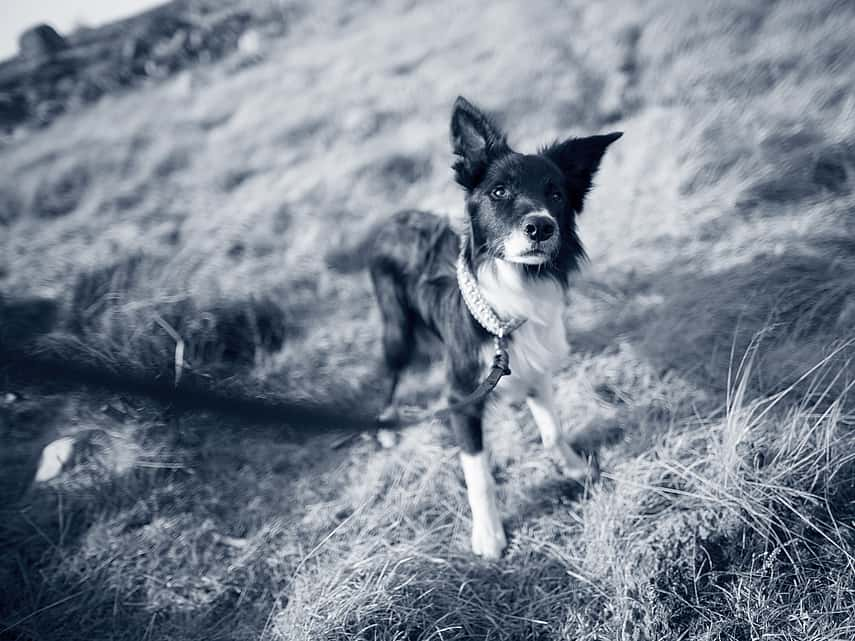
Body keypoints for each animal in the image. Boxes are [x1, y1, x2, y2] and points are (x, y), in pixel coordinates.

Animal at [330, 95, 620, 556]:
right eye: (499, 192)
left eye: (555, 193)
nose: (541, 226)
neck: (508, 295)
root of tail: (396, 217)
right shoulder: (463, 397)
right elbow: (478, 476)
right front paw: (489, 536)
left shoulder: (536, 369)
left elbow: (553, 432)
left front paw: (574, 466)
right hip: (396, 329)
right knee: (392, 375)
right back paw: (387, 427)